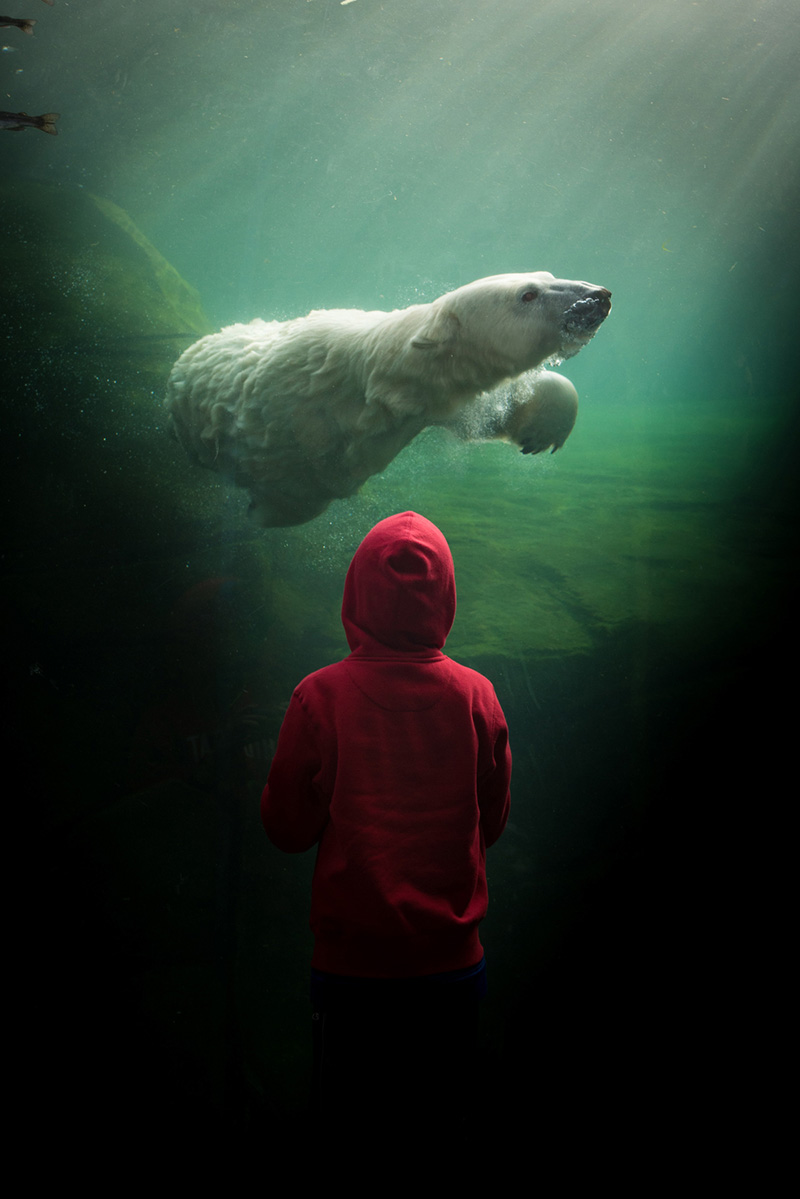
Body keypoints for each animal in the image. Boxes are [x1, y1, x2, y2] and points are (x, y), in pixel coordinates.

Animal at [165, 275, 609, 529]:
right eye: (528, 294)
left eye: (547, 274)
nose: (598, 297)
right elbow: (301, 487)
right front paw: (260, 512)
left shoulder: (430, 400)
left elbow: (487, 416)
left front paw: (541, 430)